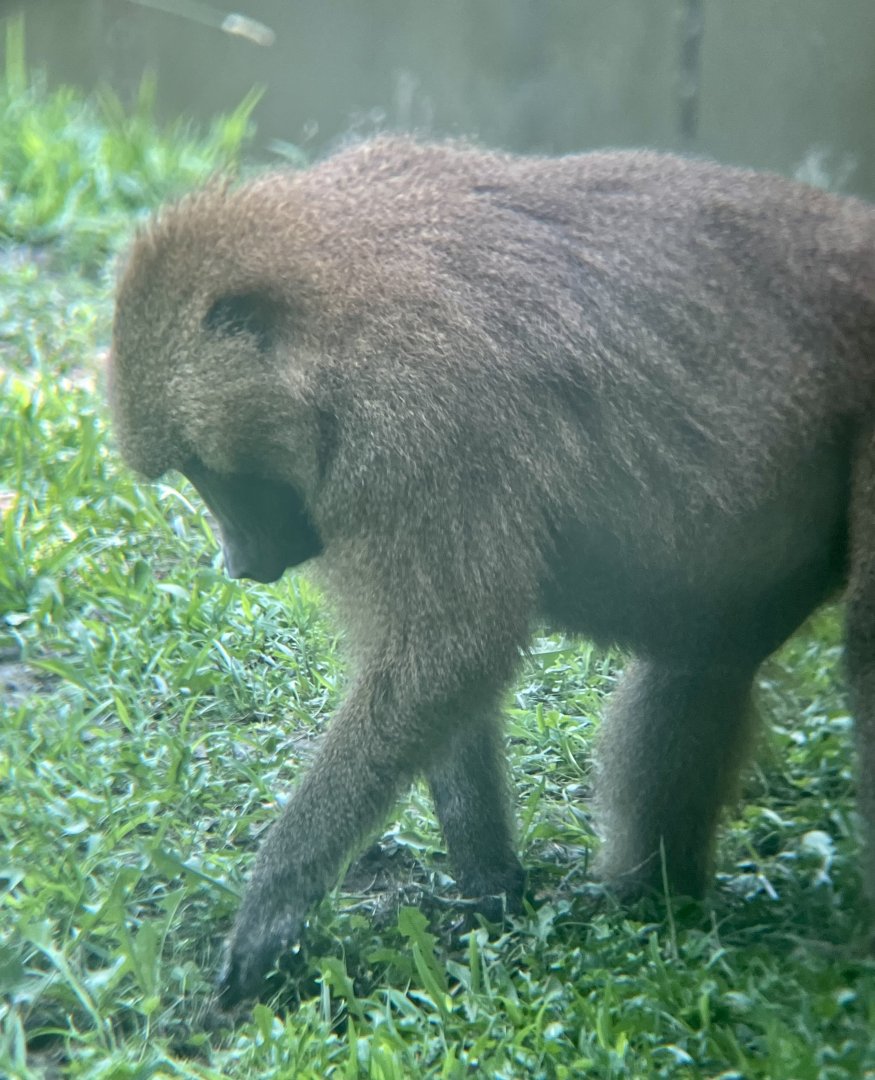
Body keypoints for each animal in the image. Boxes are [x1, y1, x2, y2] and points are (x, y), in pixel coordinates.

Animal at [107, 136, 875, 1006]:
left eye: (206, 470)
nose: (237, 563)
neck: (337, 302)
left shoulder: (416, 421)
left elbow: (449, 653)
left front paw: (276, 898)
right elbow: (441, 678)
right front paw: (489, 889)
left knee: (860, 653)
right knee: (702, 662)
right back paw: (655, 903)